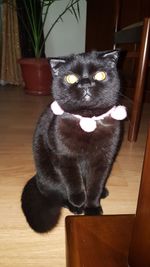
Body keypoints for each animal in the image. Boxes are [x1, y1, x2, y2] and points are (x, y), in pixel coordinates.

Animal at [21, 50, 126, 232]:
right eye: (71, 78)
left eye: (100, 75)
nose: (85, 83)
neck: (87, 124)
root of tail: (37, 178)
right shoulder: (66, 157)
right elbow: (74, 181)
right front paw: (79, 202)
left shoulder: (102, 160)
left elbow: (95, 185)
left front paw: (92, 209)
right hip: (49, 176)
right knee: (56, 193)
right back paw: (73, 206)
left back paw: (102, 193)